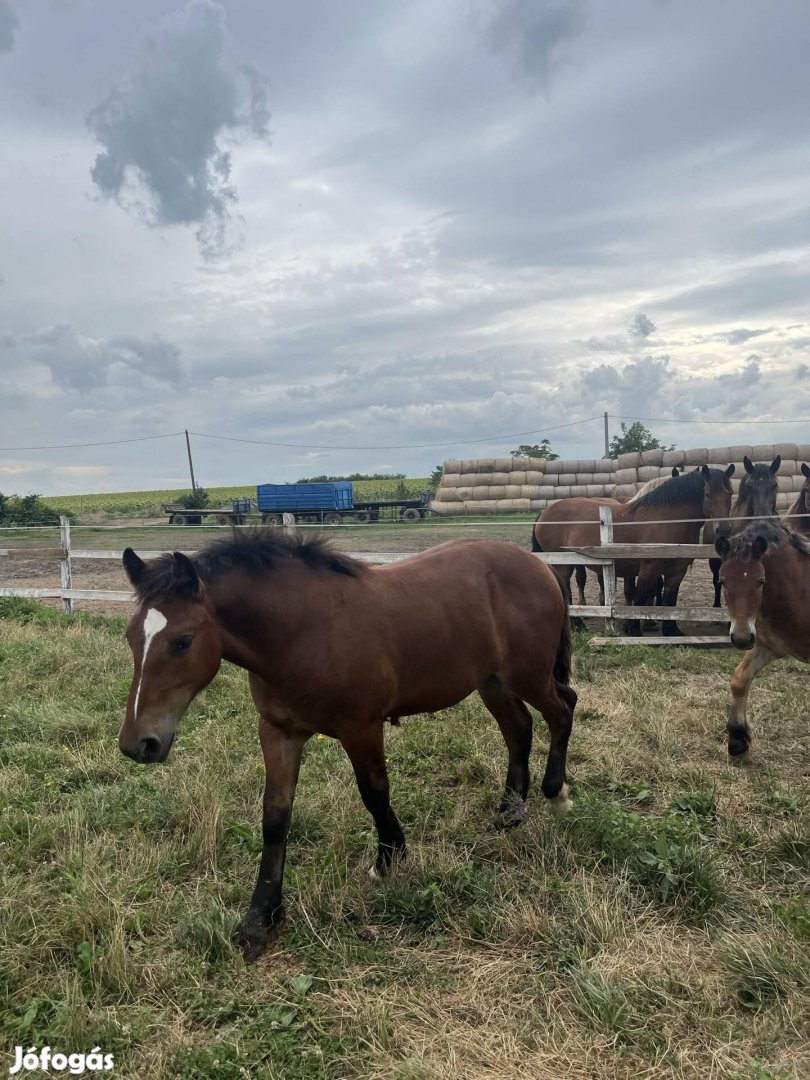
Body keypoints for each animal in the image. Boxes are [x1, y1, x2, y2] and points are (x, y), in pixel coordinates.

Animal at [118, 531, 578, 963]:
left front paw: (389, 859)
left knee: (563, 708)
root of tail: (538, 566)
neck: (301, 631)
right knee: (518, 728)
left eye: (182, 640)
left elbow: (375, 794)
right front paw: (260, 919)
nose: (138, 744)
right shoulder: (278, 733)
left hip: (527, 675)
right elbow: (275, 818)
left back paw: (556, 793)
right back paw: (511, 810)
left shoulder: (361, 728)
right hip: (491, 681)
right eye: (130, 636)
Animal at [533, 464, 734, 630]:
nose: (724, 529)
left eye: (730, 494)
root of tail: (545, 511)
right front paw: (633, 629)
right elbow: (639, 599)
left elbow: (670, 600)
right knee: (566, 590)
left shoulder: (677, 571)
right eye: (707, 494)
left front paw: (671, 631)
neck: (666, 520)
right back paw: (577, 624)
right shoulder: (648, 569)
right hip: (563, 565)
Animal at [717, 522, 810, 760]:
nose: (741, 638)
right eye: (723, 581)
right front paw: (738, 738)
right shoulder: (769, 646)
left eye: (761, 581)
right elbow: (740, 679)